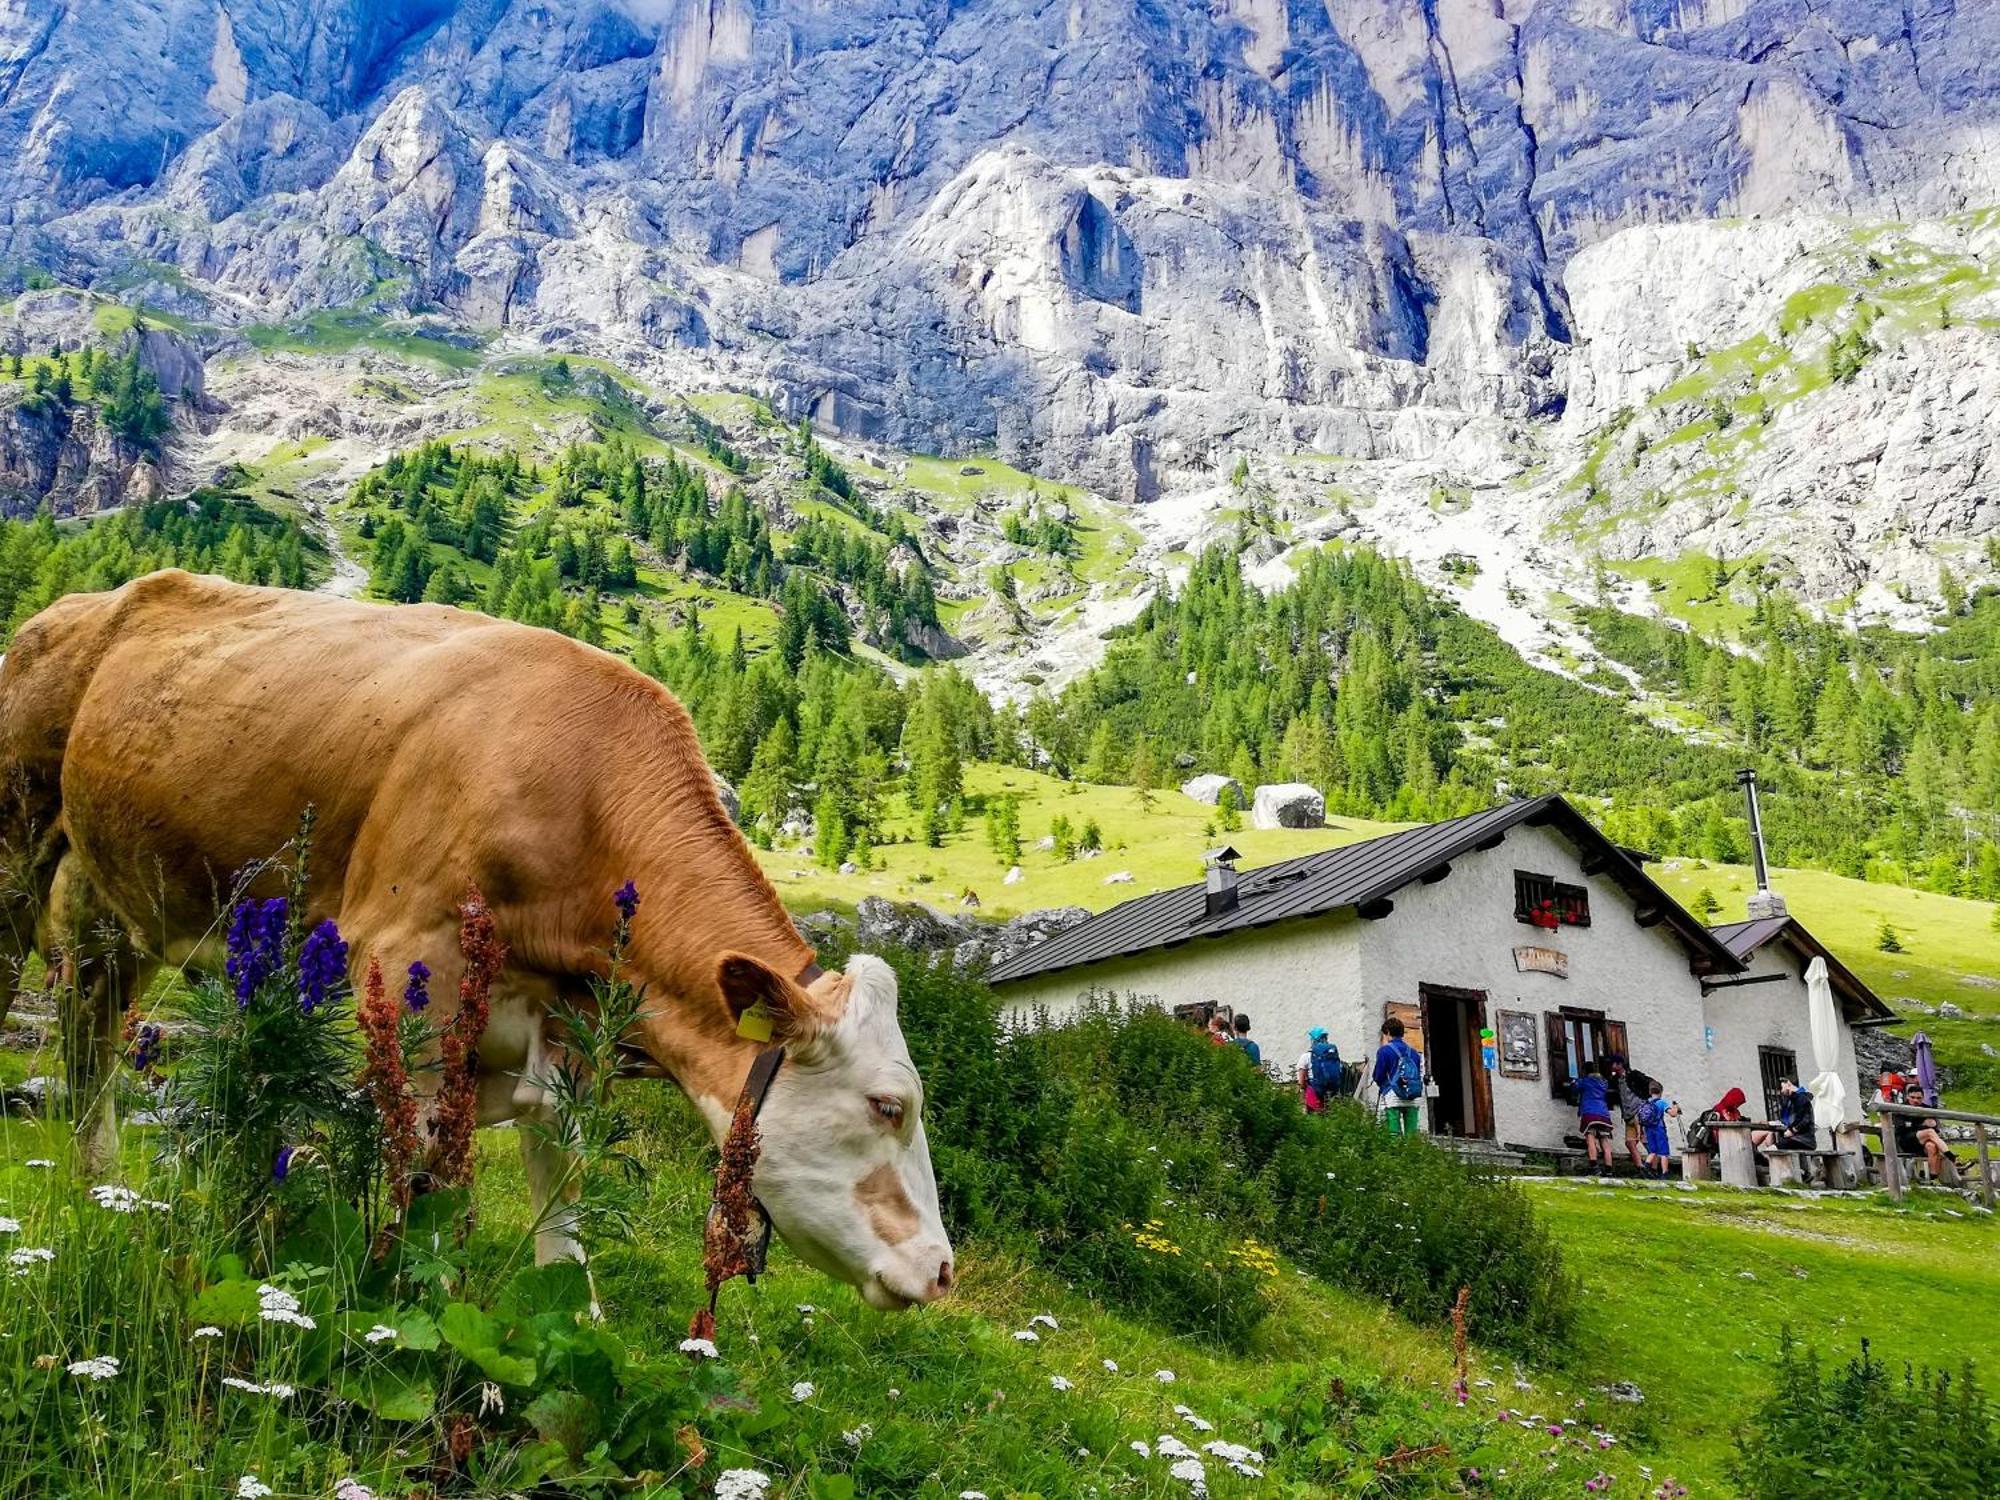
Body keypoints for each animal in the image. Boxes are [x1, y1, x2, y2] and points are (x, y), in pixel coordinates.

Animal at [1, 568, 952, 1312]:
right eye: (889, 1106)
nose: (942, 1272)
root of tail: (77, 605)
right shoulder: (399, 965)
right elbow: (413, 1171)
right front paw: (398, 1300)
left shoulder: (566, 1037)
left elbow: (560, 1204)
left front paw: (573, 1317)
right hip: (16, 849)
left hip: (114, 904)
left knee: (89, 1036)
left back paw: (103, 1187)